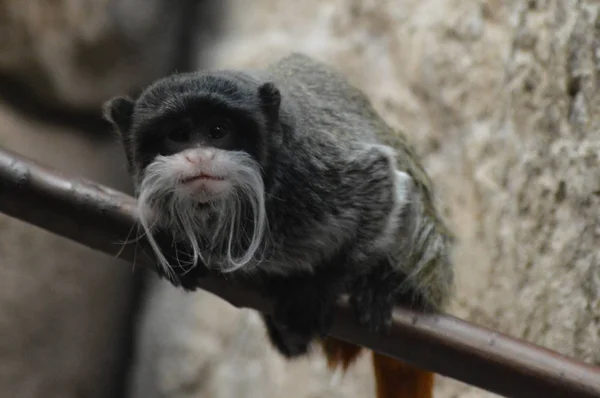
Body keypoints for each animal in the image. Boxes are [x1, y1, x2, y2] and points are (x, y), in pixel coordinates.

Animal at [103, 52, 454, 398]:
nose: (198, 157)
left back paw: (386, 286)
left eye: (217, 130)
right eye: (178, 135)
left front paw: (319, 288)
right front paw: (174, 247)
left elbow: (384, 183)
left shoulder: (315, 168)